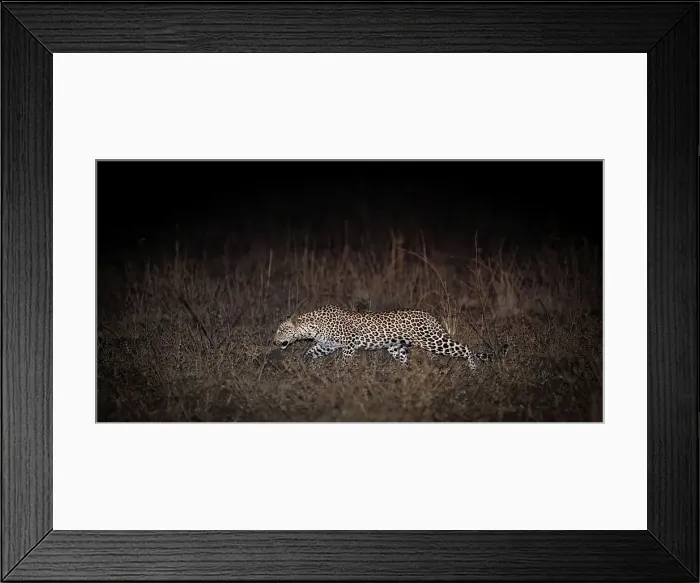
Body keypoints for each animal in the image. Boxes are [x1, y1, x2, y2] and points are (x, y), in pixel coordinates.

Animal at [273, 304, 508, 370]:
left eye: (281, 330)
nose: (274, 341)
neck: (312, 325)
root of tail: (429, 315)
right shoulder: (327, 345)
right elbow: (309, 351)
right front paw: (303, 366)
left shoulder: (348, 343)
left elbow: (345, 361)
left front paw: (342, 375)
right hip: (396, 348)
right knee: (406, 362)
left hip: (433, 340)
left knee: (466, 348)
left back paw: (474, 370)